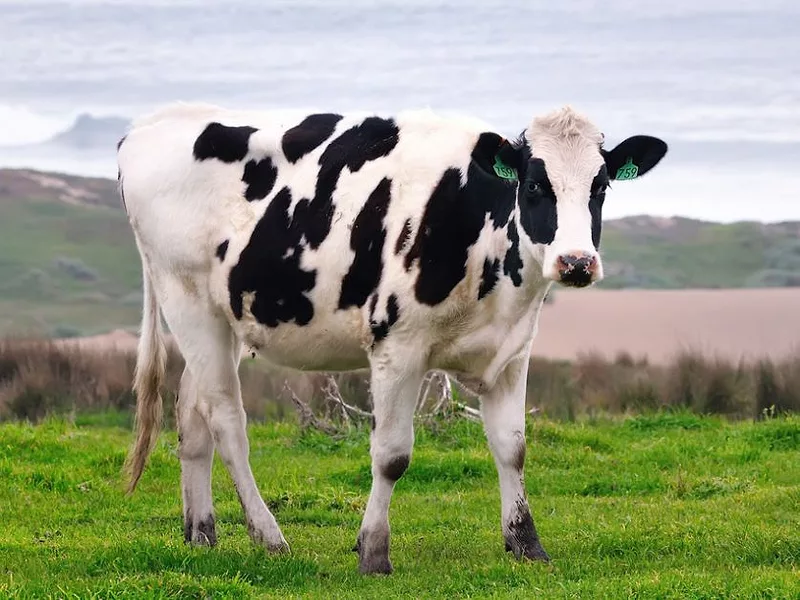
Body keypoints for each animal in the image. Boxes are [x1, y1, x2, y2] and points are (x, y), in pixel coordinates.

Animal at [116, 101, 667, 574]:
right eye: (533, 186)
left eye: (600, 187)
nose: (576, 262)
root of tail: (146, 126)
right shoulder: (396, 346)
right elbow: (392, 454)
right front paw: (373, 552)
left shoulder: (511, 353)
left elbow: (513, 447)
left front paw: (526, 544)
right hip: (186, 300)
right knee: (227, 422)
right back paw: (269, 536)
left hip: (221, 316)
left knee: (194, 415)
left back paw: (201, 533)